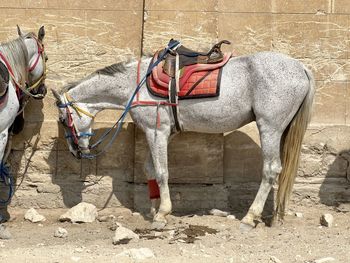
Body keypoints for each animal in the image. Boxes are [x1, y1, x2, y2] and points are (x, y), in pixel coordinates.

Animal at [51, 48, 314, 232]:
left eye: (63, 119)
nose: (75, 152)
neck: (136, 85)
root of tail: (301, 67)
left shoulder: (156, 131)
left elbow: (161, 172)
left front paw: (162, 214)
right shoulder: (161, 133)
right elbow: (150, 169)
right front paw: (154, 208)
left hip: (269, 127)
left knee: (271, 170)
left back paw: (250, 217)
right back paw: (275, 215)